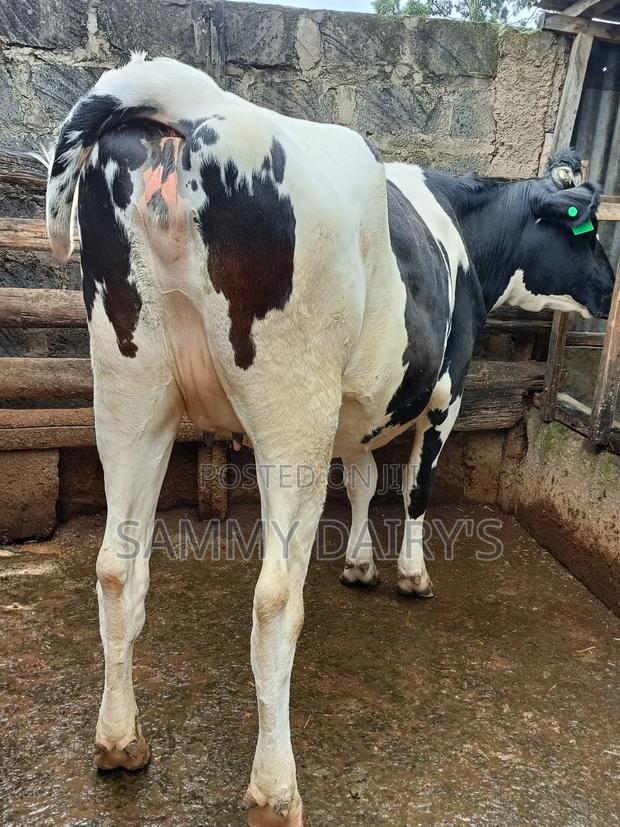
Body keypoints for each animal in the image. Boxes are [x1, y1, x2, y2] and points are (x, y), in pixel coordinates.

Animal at [46, 55, 614, 827]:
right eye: (585, 230)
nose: (612, 287)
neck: (463, 229)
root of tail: (195, 103)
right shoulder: (446, 393)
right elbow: (413, 489)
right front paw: (409, 574)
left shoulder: (356, 411)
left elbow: (366, 479)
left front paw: (359, 564)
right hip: (292, 416)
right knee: (275, 598)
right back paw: (275, 790)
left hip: (130, 394)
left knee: (115, 568)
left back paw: (119, 742)